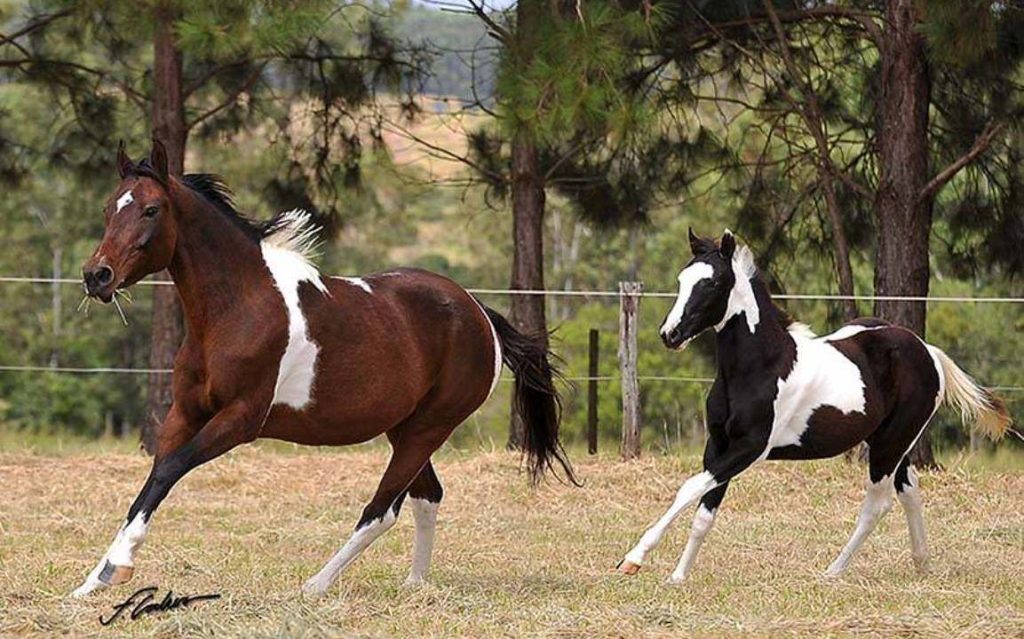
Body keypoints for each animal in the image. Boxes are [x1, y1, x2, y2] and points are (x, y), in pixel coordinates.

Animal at [74, 142, 577, 598]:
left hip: (428, 429)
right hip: (405, 428)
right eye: (109, 208)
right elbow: (152, 481)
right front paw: (94, 579)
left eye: (151, 209)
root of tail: (479, 314)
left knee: (382, 510)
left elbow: (168, 472)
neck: (237, 310)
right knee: (427, 496)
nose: (97, 276)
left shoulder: (239, 420)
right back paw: (415, 584)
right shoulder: (184, 414)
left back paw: (315, 585)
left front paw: (115, 570)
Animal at [614, 230, 1007, 585]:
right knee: (909, 489)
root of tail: (928, 351)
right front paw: (678, 576)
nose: (670, 335)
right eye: (682, 280)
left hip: (890, 445)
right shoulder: (719, 445)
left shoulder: (750, 448)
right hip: (893, 443)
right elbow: (703, 512)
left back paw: (833, 571)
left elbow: (689, 487)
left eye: (711, 284)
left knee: (877, 505)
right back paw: (922, 564)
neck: (761, 366)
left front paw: (633, 559)